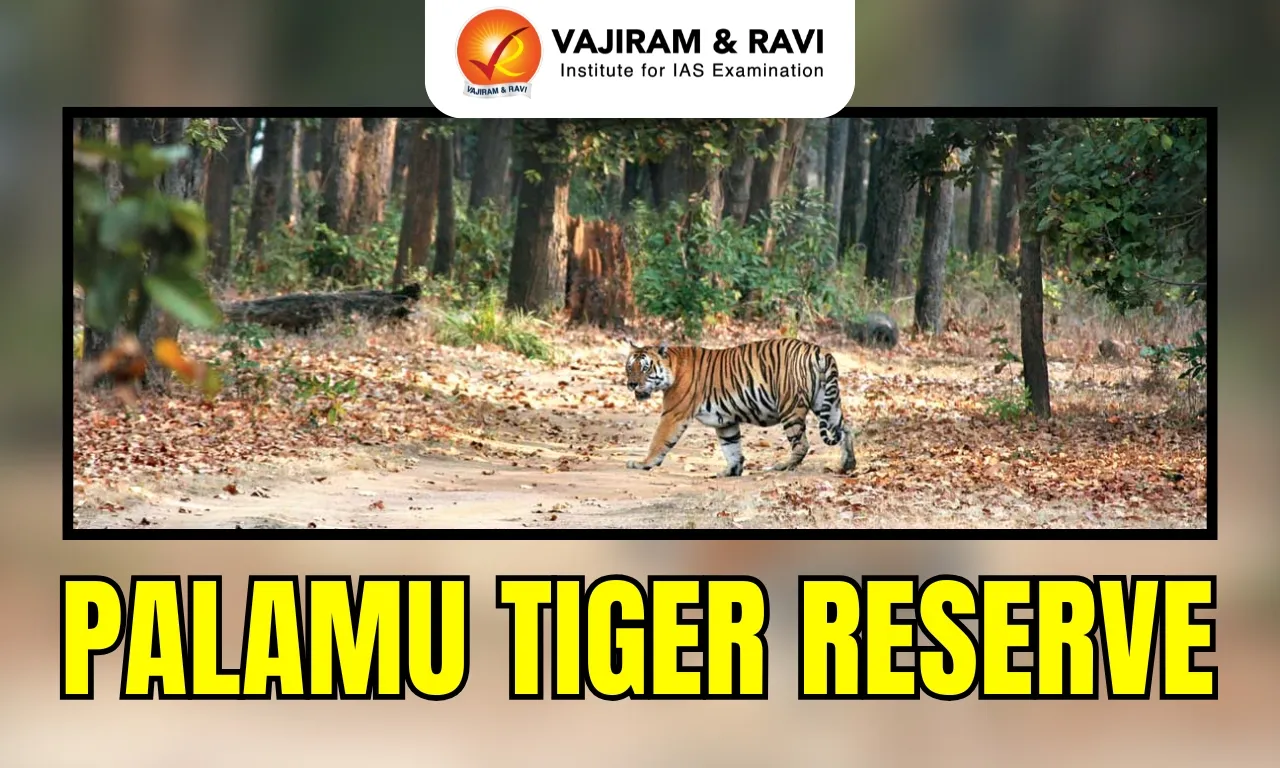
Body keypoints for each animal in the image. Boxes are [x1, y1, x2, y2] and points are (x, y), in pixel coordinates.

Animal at [622, 338, 857, 477]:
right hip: (826, 402)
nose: (631, 384)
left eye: (645, 368)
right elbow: (731, 447)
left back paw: (782, 466)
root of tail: (818, 350)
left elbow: (658, 441)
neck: (673, 367)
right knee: (845, 428)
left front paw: (643, 464)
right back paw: (848, 464)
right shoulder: (725, 421)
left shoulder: (673, 414)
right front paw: (731, 471)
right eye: (629, 367)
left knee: (802, 443)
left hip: (790, 407)